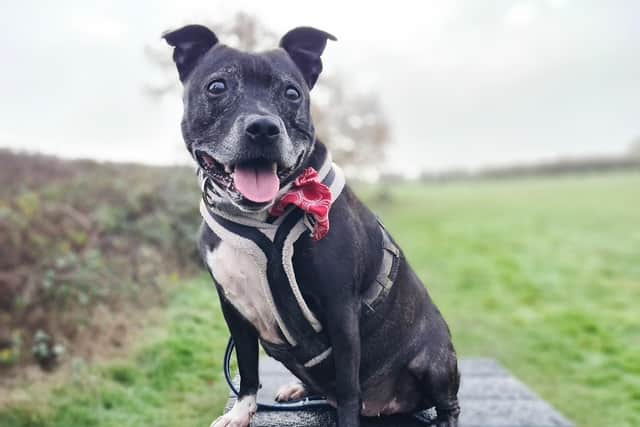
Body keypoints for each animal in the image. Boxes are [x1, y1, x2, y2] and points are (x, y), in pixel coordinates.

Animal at [162, 24, 458, 427]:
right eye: (217, 86)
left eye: (292, 93)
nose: (263, 127)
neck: (264, 218)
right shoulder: (234, 309)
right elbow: (248, 368)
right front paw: (241, 411)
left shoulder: (340, 309)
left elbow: (348, 387)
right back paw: (298, 388)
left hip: (435, 361)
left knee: (446, 402)